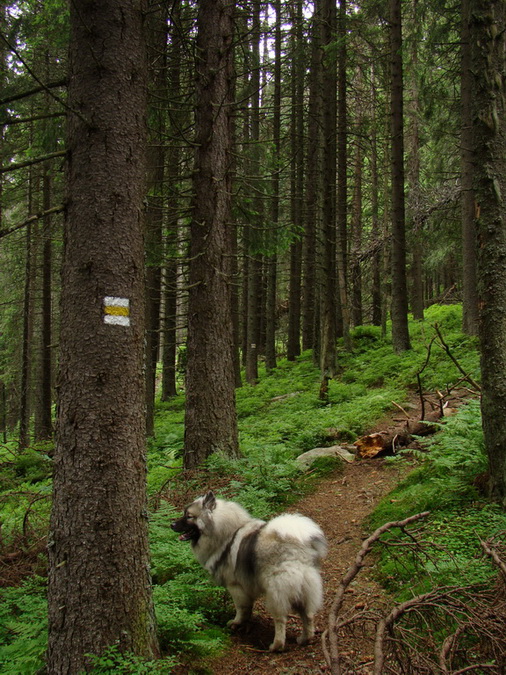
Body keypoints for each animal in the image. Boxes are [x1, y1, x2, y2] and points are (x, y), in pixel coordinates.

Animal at [171, 488, 328, 652]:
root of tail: (299, 548)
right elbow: (248, 608)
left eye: (189, 516)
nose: (171, 524)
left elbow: (241, 608)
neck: (225, 534)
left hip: (276, 592)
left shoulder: (235, 586)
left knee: (280, 620)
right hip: (304, 589)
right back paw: (305, 638)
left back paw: (276, 645)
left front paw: (236, 623)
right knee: (308, 615)